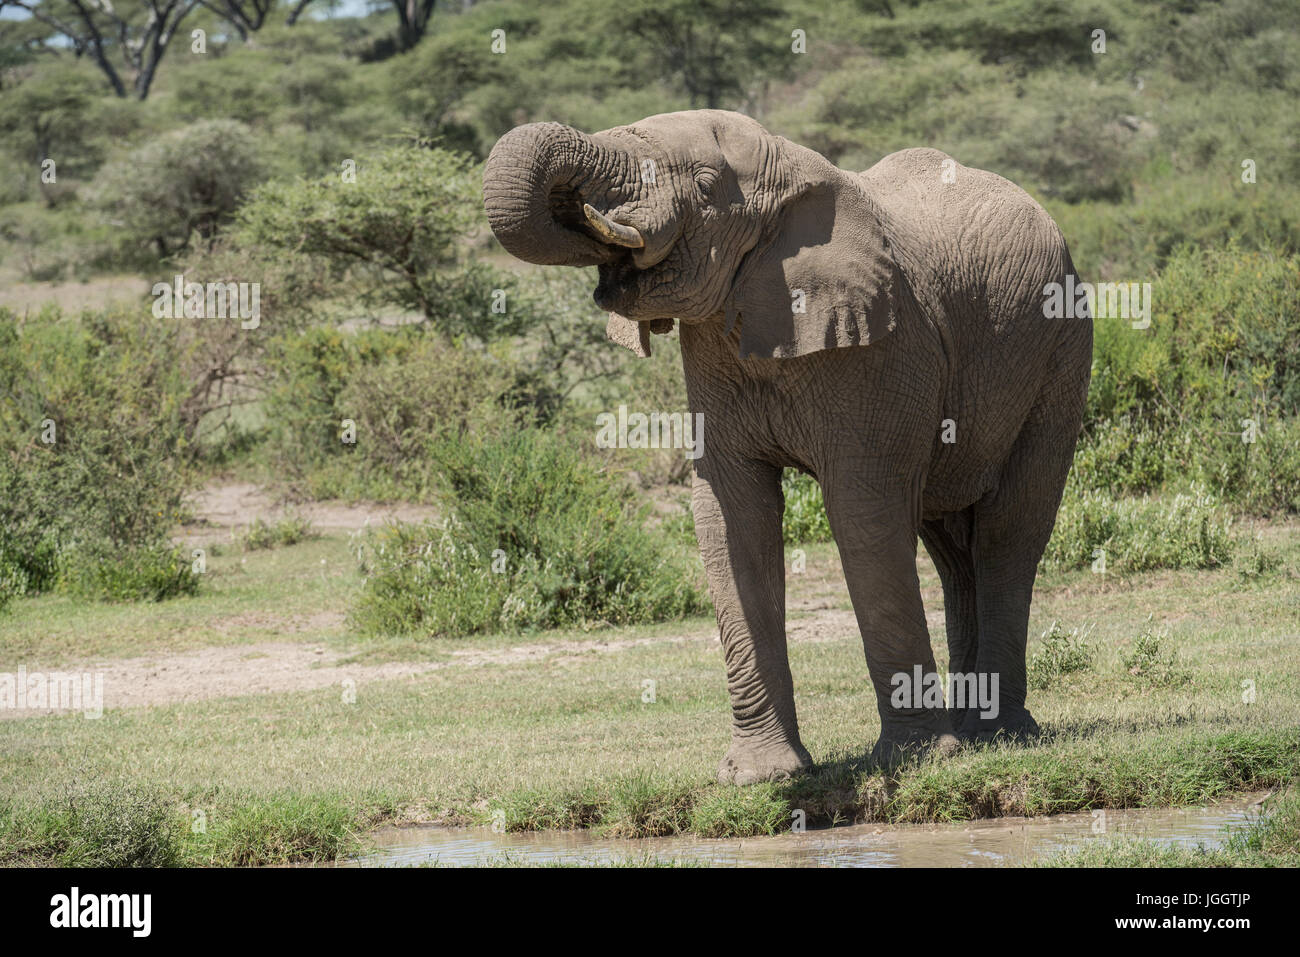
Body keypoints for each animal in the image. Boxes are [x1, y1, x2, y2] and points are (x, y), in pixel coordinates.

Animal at [483, 110, 1092, 785]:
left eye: (705, 185)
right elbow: (729, 516)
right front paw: (760, 777)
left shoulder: (886, 344)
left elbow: (863, 512)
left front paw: (915, 761)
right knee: (954, 550)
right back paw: (974, 733)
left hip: (1063, 353)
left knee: (1009, 531)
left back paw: (999, 735)